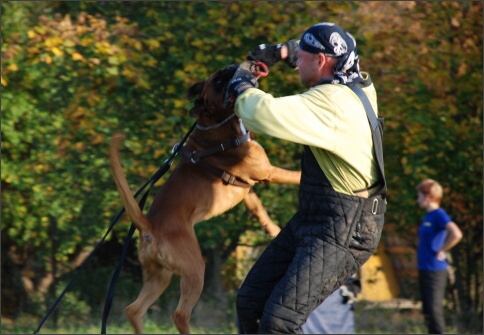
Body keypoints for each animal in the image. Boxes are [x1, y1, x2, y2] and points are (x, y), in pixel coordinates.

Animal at [108, 65, 302, 334]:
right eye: (219, 82)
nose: (235, 67)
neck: (215, 132)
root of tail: (150, 225)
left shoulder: (247, 190)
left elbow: (258, 209)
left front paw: (272, 229)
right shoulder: (268, 172)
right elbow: (295, 175)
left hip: (159, 276)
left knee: (133, 309)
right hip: (194, 270)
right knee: (179, 314)